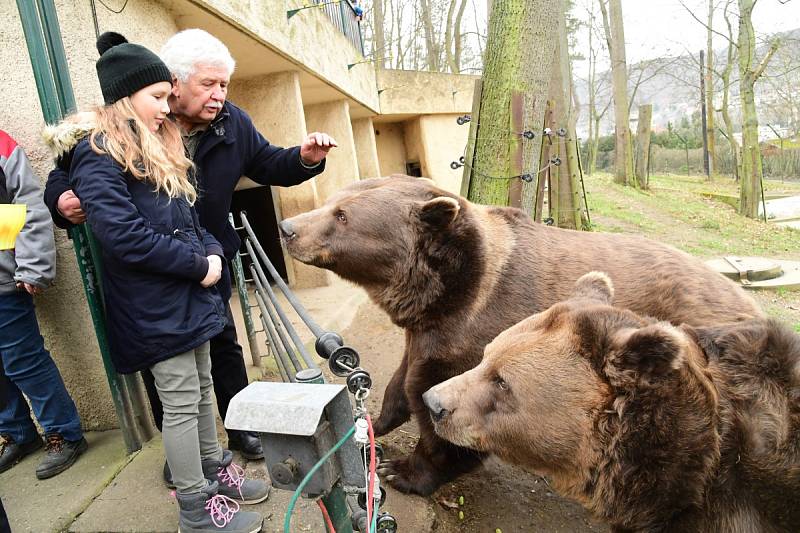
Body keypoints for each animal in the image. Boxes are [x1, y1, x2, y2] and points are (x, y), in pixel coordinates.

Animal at [280, 175, 764, 494]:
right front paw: (371, 424)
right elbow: (402, 382)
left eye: (343, 215)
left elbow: (440, 403)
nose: (288, 229)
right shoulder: (427, 330)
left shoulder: (478, 332)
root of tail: (749, 302)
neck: (449, 293)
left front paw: (404, 470)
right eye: (332, 199)